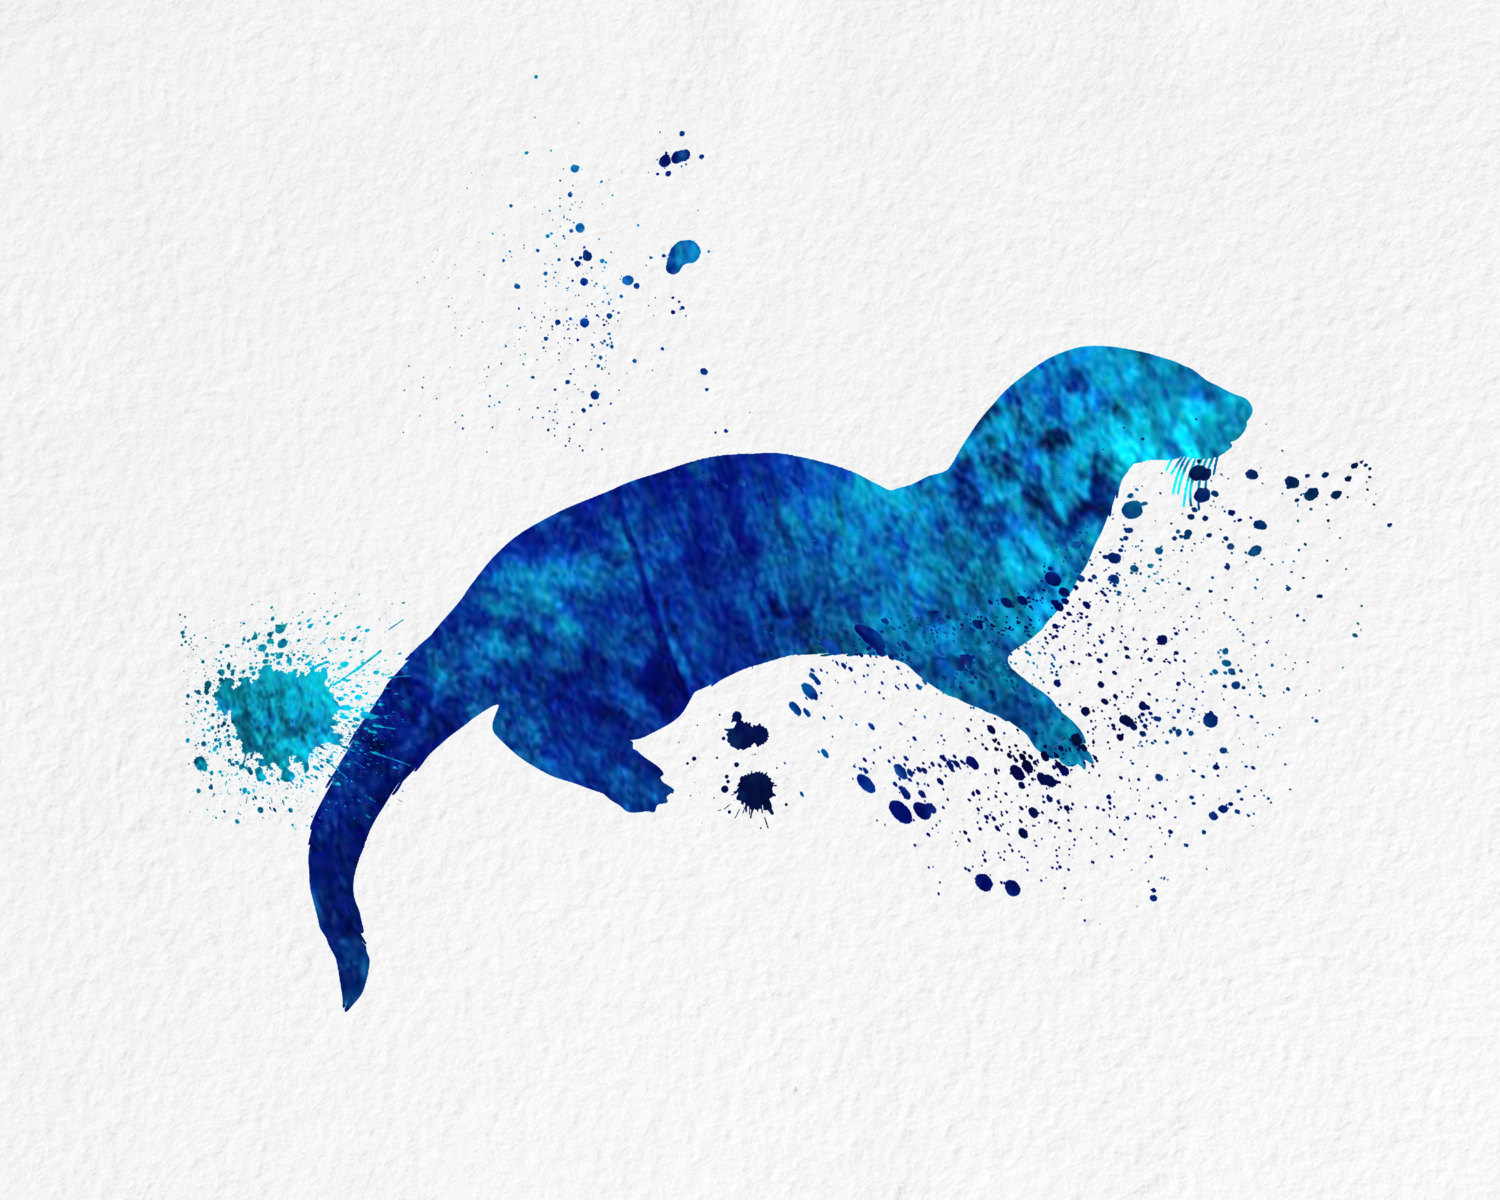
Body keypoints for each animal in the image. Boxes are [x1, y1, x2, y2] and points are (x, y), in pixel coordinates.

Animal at [309, 346, 1251, 1008]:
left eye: (1198, 368)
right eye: (1177, 384)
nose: (1243, 403)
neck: (1000, 520)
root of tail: (485, 588)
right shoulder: (933, 631)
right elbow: (992, 681)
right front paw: (1068, 736)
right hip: (642, 658)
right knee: (523, 722)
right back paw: (640, 781)